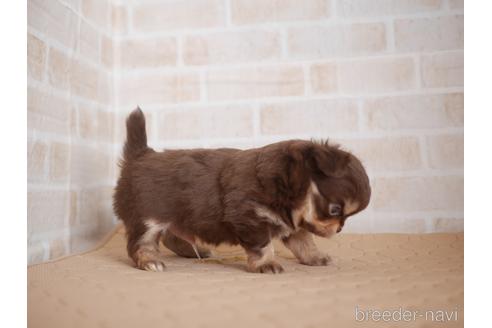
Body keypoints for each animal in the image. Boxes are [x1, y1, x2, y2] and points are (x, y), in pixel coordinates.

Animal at [113, 109, 370, 272]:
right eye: (335, 210)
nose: (339, 229)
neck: (284, 186)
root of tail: (141, 155)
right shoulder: (251, 219)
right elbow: (264, 246)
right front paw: (266, 264)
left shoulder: (293, 225)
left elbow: (305, 243)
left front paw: (316, 258)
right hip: (148, 217)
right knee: (142, 242)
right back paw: (150, 261)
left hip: (178, 215)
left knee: (171, 236)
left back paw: (195, 251)